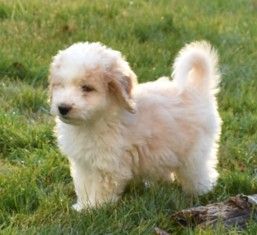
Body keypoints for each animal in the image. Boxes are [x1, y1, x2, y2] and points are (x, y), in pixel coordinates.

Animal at [49, 40, 221, 211]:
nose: (63, 108)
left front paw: (95, 208)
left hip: (194, 152)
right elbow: (83, 184)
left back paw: (200, 191)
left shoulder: (107, 166)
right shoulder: (83, 163)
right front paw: (83, 206)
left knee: (199, 172)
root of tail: (195, 89)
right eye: (60, 85)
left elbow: (100, 189)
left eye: (87, 88)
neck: (93, 121)